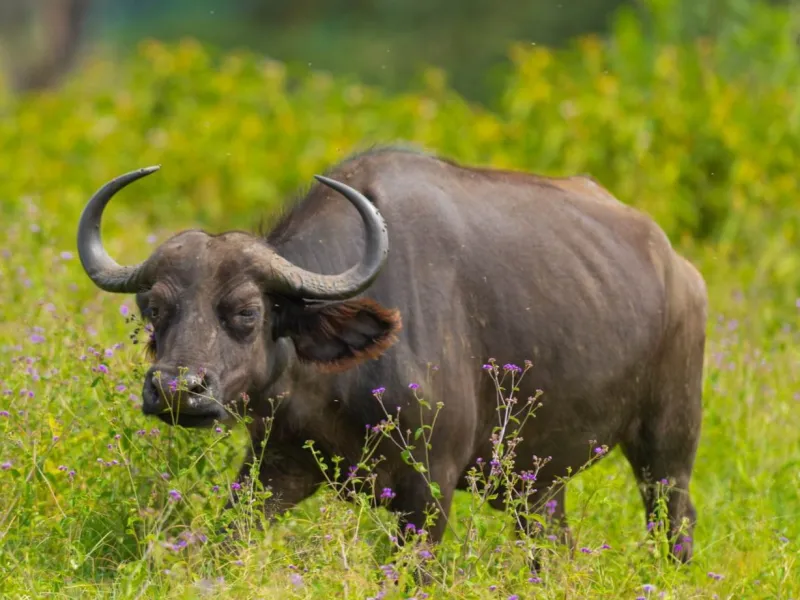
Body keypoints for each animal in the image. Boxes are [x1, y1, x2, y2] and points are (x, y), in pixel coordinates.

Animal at [76, 146, 707, 563]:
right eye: (154, 309)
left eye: (247, 311)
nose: (176, 390)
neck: (336, 383)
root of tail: (680, 269)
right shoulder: (274, 466)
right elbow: (226, 540)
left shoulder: (429, 492)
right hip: (534, 485)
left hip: (667, 450)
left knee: (674, 523)